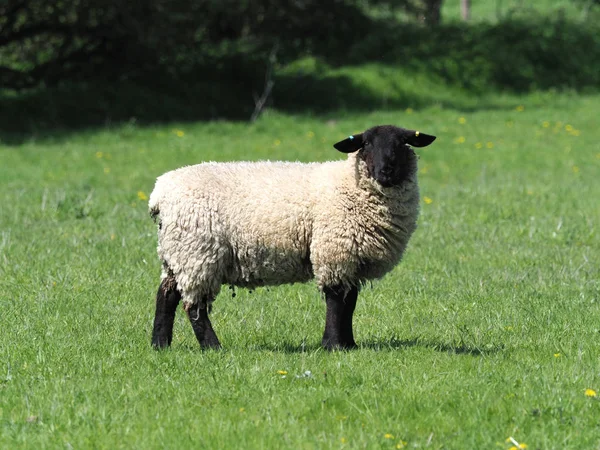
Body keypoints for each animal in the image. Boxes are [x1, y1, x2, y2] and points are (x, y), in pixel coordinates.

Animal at [147, 125, 434, 350]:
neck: (351, 184)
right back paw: (212, 347)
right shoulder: (334, 251)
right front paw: (333, 345)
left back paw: (160, 345)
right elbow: (336, 300)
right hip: (198, 252)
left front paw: (349, 344)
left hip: (177, 252)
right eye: (366, 144)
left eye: (402, 143)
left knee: (167, 294)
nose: (386, 171)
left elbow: (350, 301)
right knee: (193, 305)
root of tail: (159, 193)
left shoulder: (351, 258)